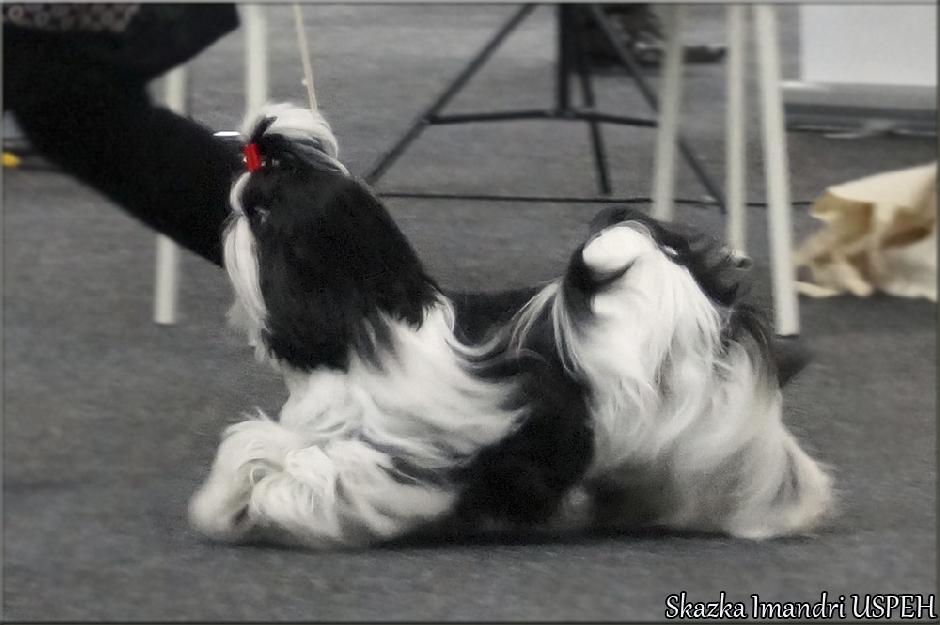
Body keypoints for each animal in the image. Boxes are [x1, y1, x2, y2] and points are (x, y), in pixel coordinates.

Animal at [189, 104, 833, 548]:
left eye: (262, 213)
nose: (231, 211)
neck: (365, 327)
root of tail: (688, 296)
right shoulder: (322, 426)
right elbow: (256, 445)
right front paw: (229, 500)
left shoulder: (397, 456)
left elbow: (321, 472)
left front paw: (276, 504)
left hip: (717, 421)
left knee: (769, 467)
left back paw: (782, 512)